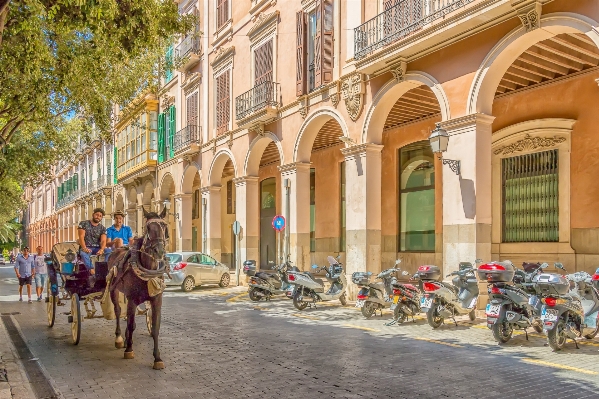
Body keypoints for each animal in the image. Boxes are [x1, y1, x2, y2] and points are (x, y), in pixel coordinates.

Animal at [109, 208, 169, 370]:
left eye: (164, 226)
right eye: (148, 228)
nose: (159, 251)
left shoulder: (157, 300)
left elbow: (155, 328)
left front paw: (157, 358)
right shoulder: (132, 299)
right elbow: (131, 325)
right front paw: (129, 349)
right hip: (113, 290)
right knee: (118, 311)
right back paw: (119, 338)